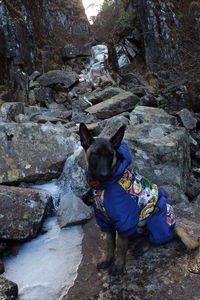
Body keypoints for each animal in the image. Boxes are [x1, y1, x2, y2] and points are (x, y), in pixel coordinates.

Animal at [79, 122, 199, 276]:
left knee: (163, 237)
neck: (104, 186)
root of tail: (173, 224)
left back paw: (143, 246)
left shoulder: (125, 221)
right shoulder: (105, 221)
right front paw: (108, 260)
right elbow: (110, 245)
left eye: (110, 155)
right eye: (95, 154)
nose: (105, 174)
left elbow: (120, 248)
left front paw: (118, 266)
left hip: (157, 216)